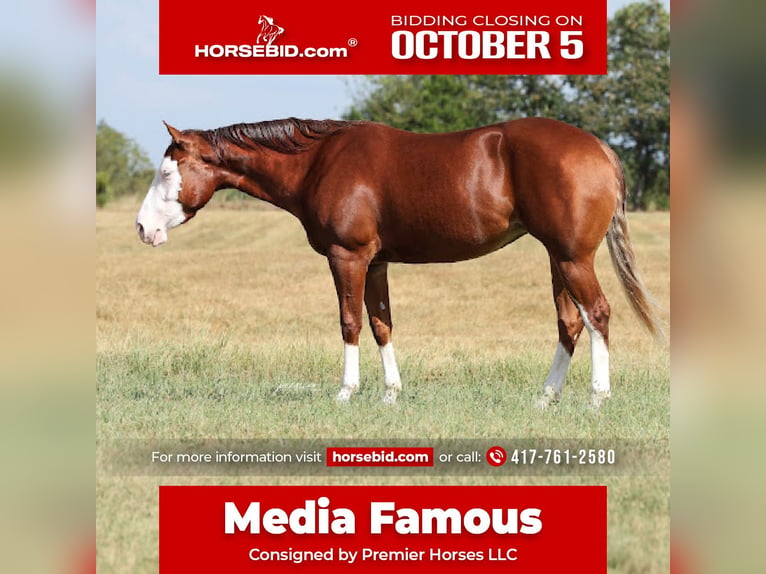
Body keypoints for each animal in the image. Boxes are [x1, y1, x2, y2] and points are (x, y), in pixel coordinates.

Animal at [135, 117, 662, 408]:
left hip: (573, 258)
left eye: (166, 171)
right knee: (569, 323)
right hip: (557, 258)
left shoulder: (346, 257)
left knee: (597, 316)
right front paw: (391, 393)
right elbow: (381, 323)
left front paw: (346, 392)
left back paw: (597, 397)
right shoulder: (377, 263)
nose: (142, 228)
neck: (319, 161)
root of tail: (599, 147)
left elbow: (349, 322)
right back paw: (545, 398)